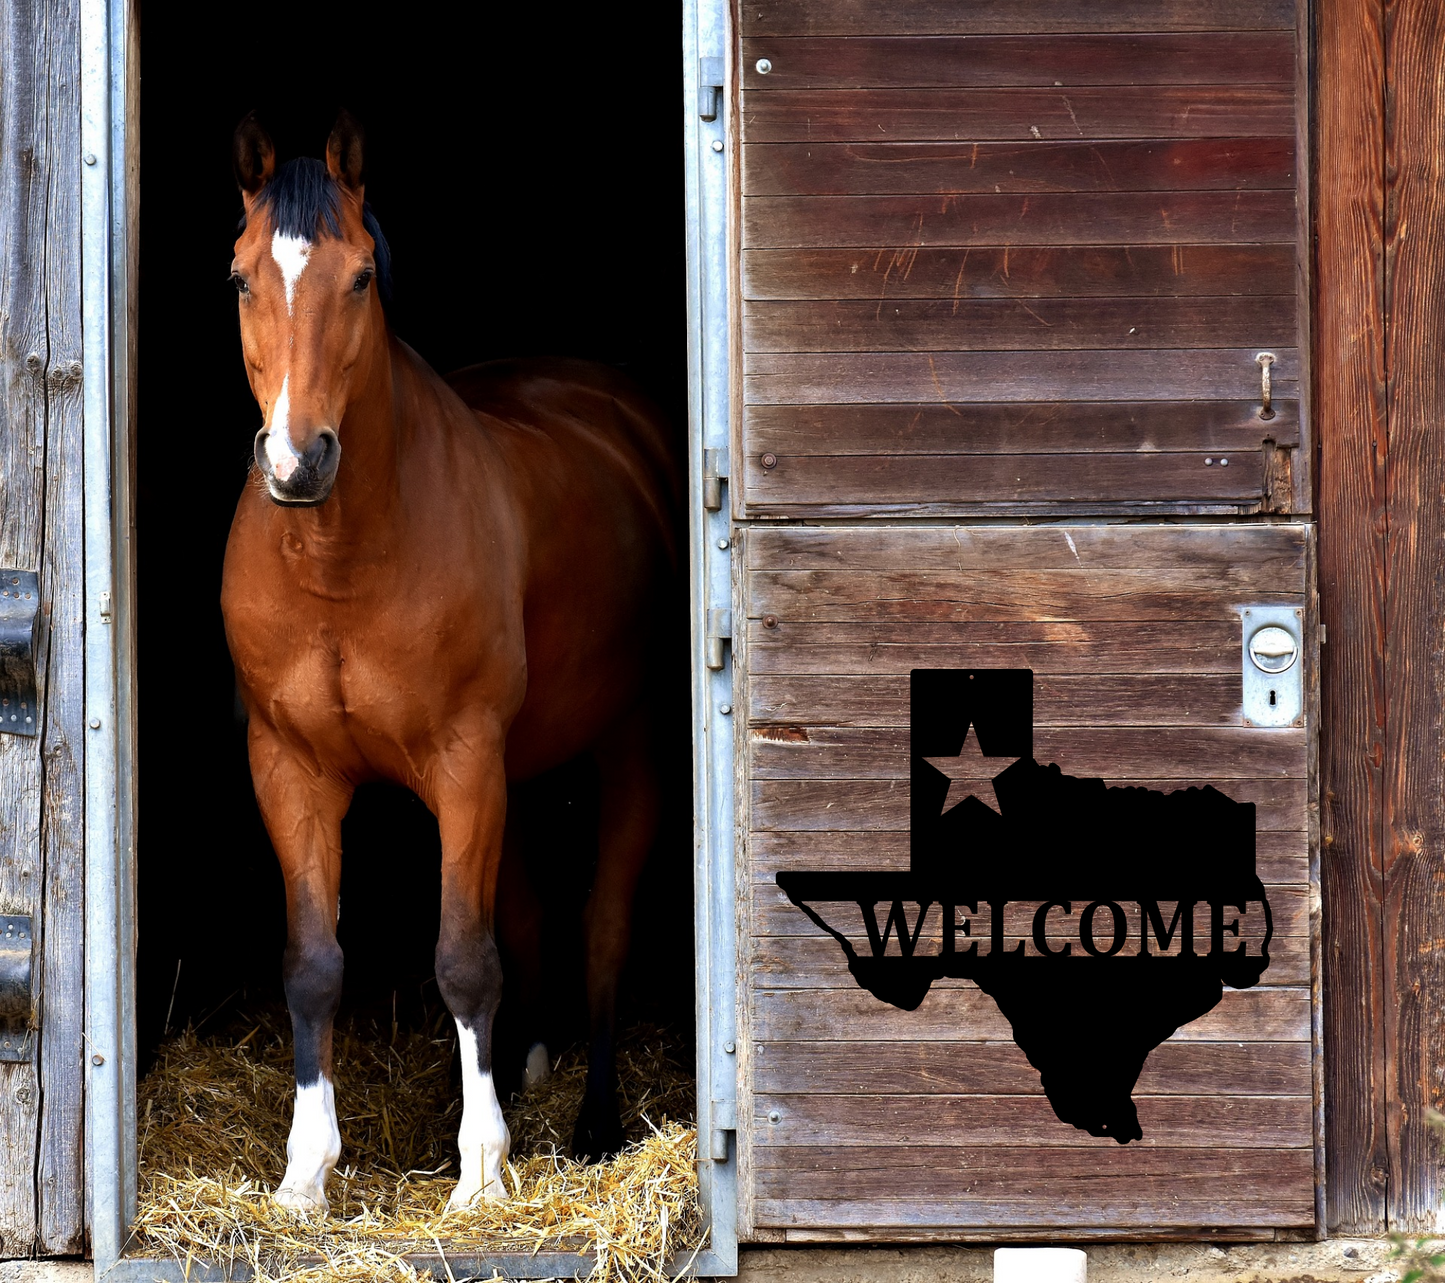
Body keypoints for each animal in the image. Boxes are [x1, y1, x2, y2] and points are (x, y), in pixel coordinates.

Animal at [219, 112, 682, 1213]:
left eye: (358, 278)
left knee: (601, 923)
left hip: (627, 745)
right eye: (241, 277)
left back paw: (593, 1122)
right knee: (532, 915)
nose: (297, 461)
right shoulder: (289, 768)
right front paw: (305, 1170)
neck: (340, 560)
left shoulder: (465, 761)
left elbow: (465, 958)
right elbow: (313, 961)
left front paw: (480, 1170)